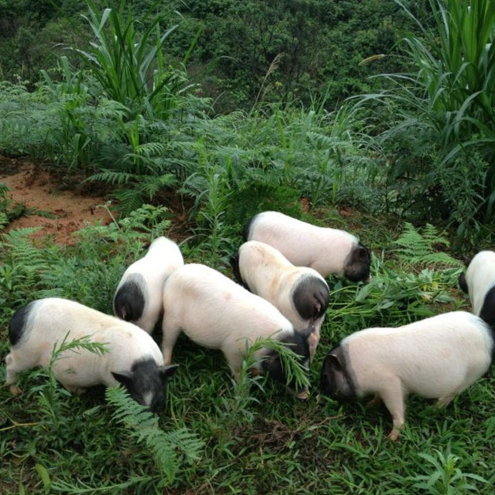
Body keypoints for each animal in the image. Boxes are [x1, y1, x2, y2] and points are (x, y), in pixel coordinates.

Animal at [5, 300, 178, 412]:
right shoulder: (111, 381)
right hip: (25, 353)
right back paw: (15, 391)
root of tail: (16, 319)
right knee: (9, 362)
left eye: (160, 399)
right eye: (135, 398)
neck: (141, 362)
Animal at [162, 264, 314, 400]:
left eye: (307, 365)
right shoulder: (231, 348)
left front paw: (254, 372)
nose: (305, 395)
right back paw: (167, 363)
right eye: (288, 370)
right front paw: (243, 391)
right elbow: (236, 368)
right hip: (171, 316)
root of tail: (174, 275)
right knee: (167, 341)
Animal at [320, 314, 494, 442]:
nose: (321, 394)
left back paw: (430, 410)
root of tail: (488, 339)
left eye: (326, 376)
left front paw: (391, 438)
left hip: (469, 376)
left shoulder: (390, 383)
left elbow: (397, 408)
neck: (353, 366)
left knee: (448, 397)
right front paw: (370, 405)